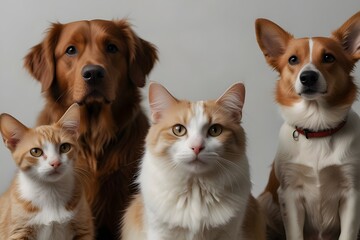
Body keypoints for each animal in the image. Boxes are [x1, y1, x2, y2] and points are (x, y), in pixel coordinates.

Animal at [0, 103, 94, 240]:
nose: (55, 162)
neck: (51, 191)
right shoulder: (18, 231)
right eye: (35, 152)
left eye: (65, 147)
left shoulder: (83, 228)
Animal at [122, 82, 266, 240]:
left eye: (215, 130)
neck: (196, 191)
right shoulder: (159, 231)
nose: (197, 147)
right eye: (178, 130)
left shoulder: (229, 231)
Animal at [255, 12, 360, 239]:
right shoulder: (289, 193)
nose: (308, 76)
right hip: (266, 202)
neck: (318, 128)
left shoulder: (352, 191)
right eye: (293, 59)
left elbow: (347, 233)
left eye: (328, 57)